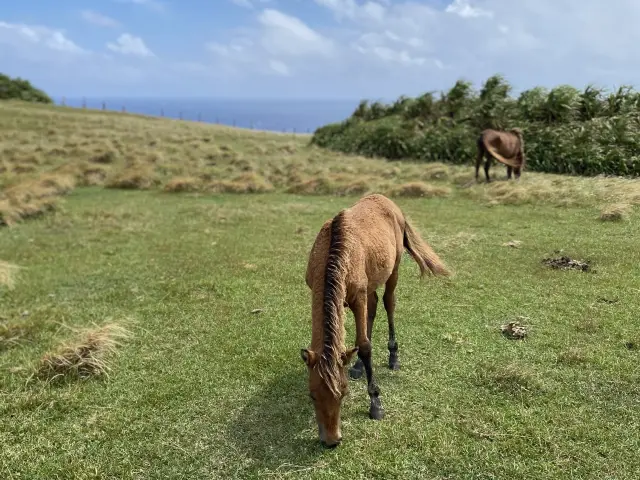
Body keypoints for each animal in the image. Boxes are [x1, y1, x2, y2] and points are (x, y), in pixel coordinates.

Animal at [300, 193, 450, 448]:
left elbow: (365, 345)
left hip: (393, 270)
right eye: (312, 395)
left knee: (389, 303)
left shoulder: (358, 297)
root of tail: (389, 202)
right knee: (373, 308)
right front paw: (357, 365)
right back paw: (358, 366)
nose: (332, 440)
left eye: (344, 393)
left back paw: (393, 357)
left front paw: (376, 404)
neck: (336, 251)